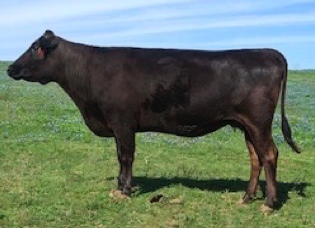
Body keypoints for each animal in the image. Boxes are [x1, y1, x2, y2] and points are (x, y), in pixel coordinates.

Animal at [6, 29, 300, 212]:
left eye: (35, 48)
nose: (9, 68)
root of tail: (267, 51)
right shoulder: (117, 125)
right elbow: (120, 156)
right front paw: (120, 185)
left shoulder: (122, 121)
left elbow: (125, 156)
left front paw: (124, 190)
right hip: (245, 124)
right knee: (255, 157)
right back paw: (247, 197)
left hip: (258, 121)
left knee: (269, 154)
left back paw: (269, 204)